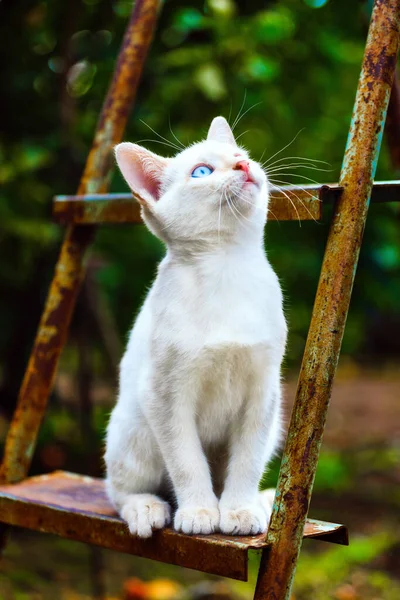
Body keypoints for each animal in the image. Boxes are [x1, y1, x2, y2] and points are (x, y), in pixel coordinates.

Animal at [105, 117, 288, 540]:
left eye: (240, 154)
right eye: (202, 172)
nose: (242, 164)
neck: (227, 267)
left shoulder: (263, 392)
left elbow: (247, 462)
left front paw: (238, 510)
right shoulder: (165, 395)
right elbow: (187, 461)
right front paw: (200, 511)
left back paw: (258, 502)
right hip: (134, 429)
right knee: (118, 489)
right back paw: (146, 508)